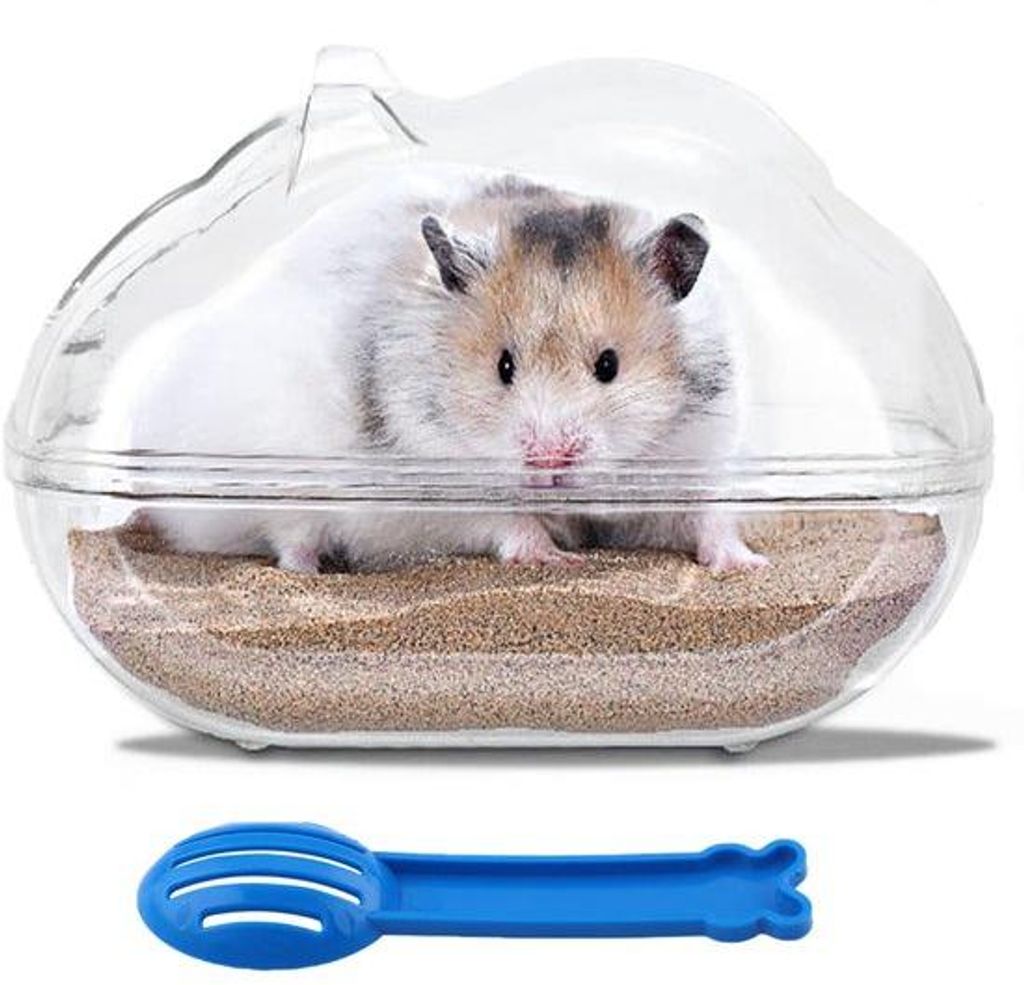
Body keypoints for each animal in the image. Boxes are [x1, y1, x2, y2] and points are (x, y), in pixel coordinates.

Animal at [104, 168, 765, 573]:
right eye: (503, 365)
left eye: (609, 366)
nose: (548, 462)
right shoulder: (436, 494)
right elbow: (508, 522)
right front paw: (556, 557)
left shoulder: (698, 457)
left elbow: (709, 518)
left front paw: (746, 566)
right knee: (288, 536)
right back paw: (311, 573)